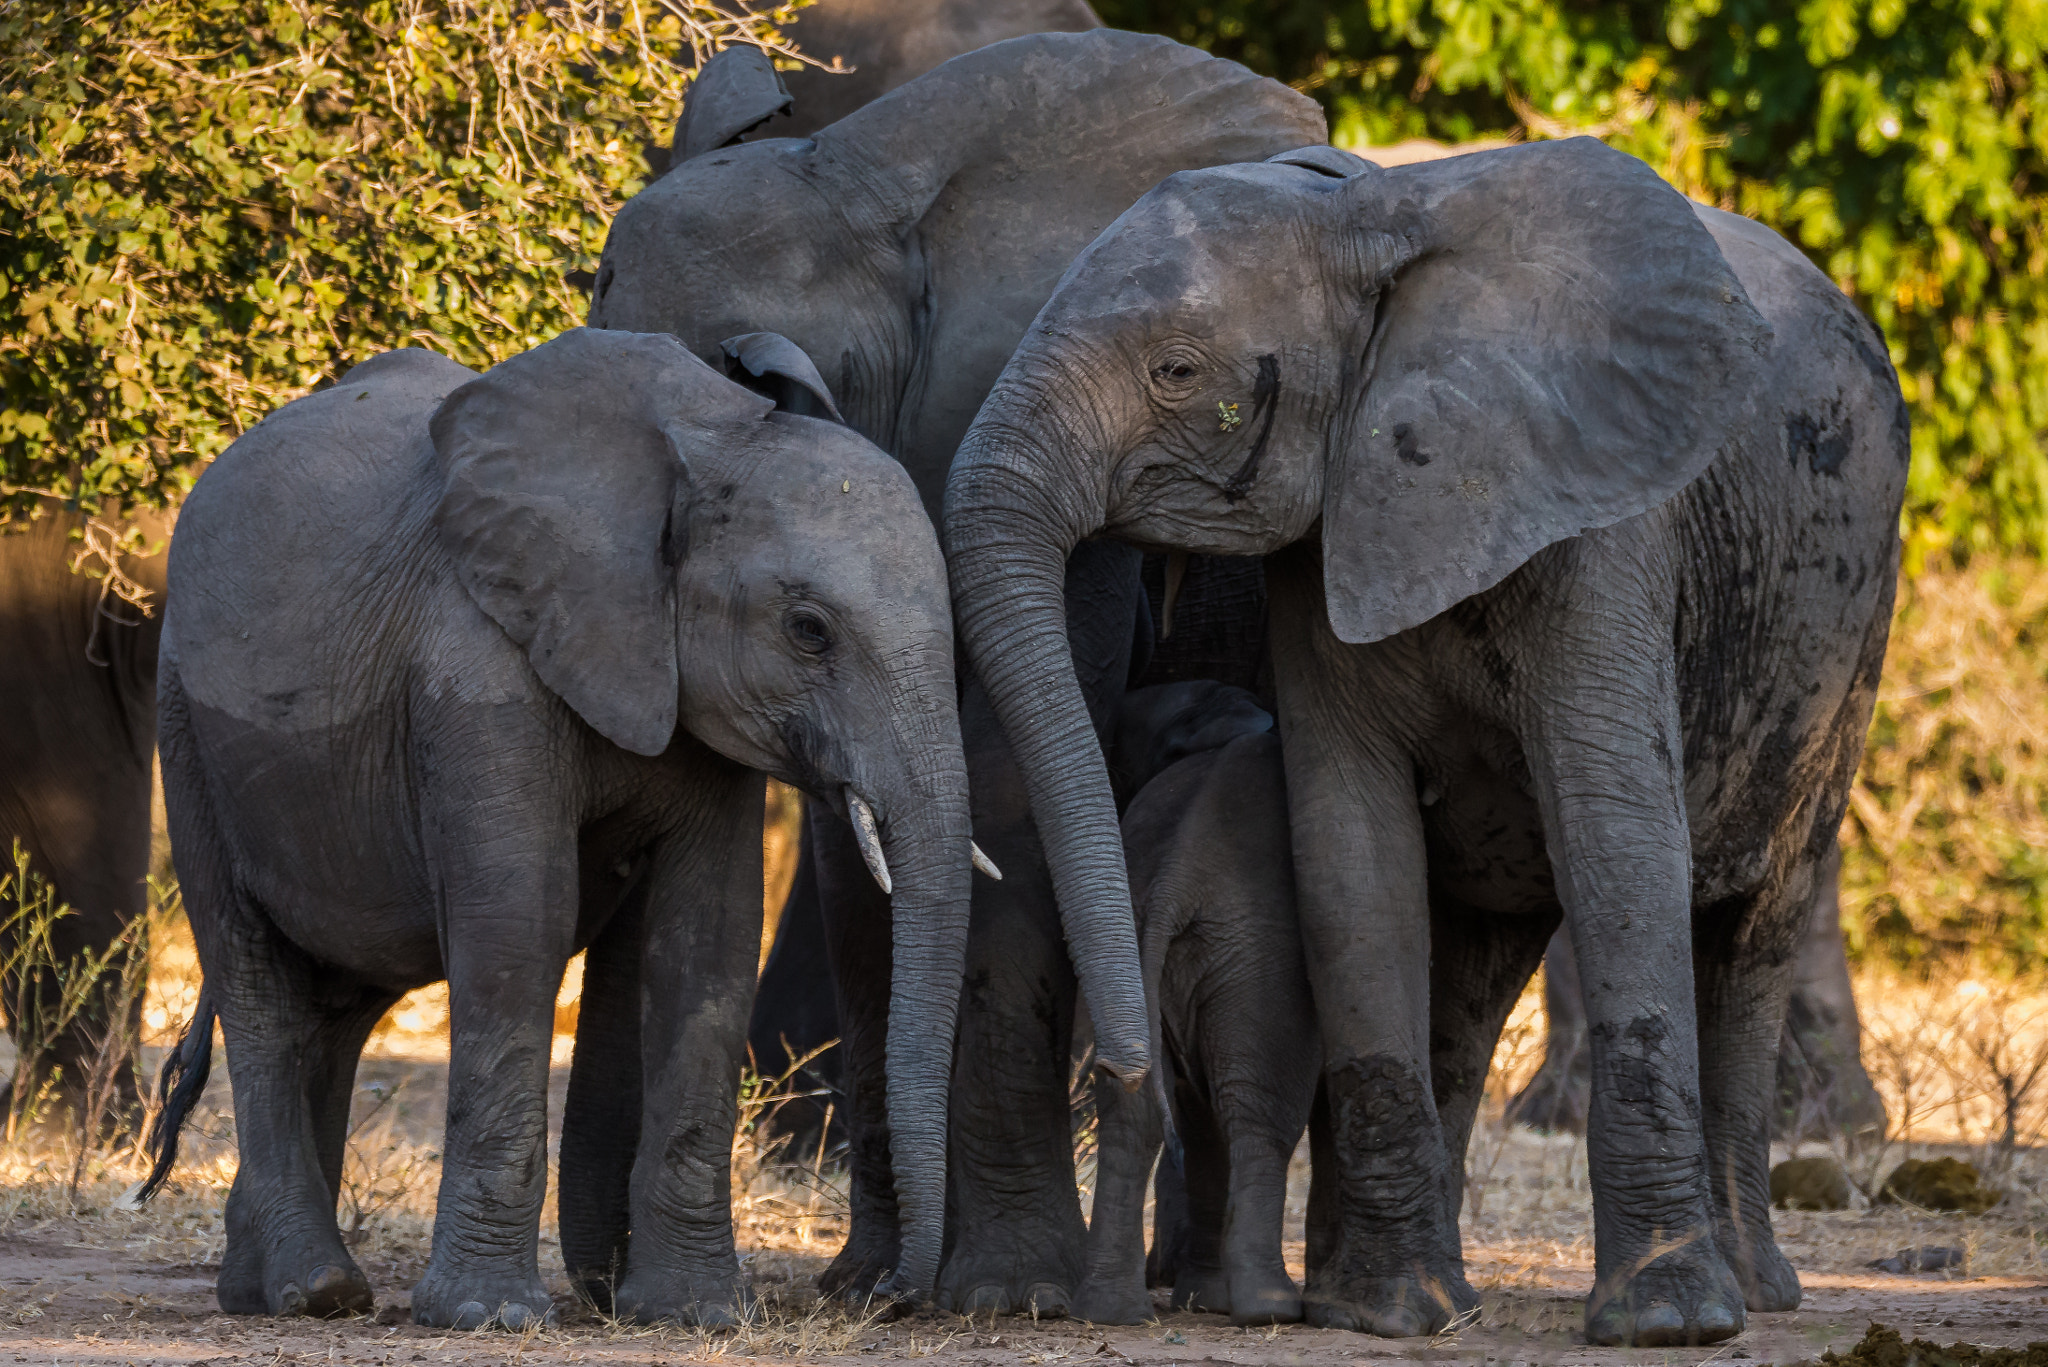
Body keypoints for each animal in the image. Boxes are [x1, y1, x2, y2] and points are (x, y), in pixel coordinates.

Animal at [144, 325, 974, 1328]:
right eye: (809, 629)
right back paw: (316, 1292)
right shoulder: (475, 661)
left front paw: (695, 1314)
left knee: (337, 1003)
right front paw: (488, 1317)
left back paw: (267, 1288)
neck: (703, 440)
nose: (889, 1295)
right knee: (257, 978)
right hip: (186, 728)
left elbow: (708, 936)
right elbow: (519, 920)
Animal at [585, 29, 1318, 1311]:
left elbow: (1002, 774)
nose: (902, 1289)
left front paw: (1005, 1291)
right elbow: (857, 842)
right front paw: (869, 1285)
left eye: (761, 385)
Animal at [937, 141, 1900, 1344]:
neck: (1362, 216)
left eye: (1175, 371)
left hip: (1851, 629)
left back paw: (1753, 1291)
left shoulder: (1604, 527)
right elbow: (1353, 852)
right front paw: (1386, 1313)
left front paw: (1666, 1324)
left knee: (1754, 928)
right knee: (1476, 970)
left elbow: (1618, 834)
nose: (1117, 1066)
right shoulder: (1323, 541)